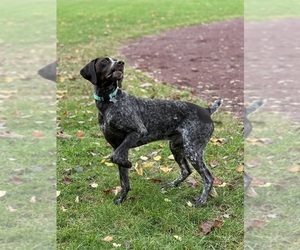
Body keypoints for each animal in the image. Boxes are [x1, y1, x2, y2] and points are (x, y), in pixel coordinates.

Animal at [79, 57, 223, 207]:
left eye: (115, 60)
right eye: (105, 61)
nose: (121, 63)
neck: (108, 102)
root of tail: (206, 110)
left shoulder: (137, 132)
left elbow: (115, 157)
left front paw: (128, 164)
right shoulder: (118, 145)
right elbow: (123, 179)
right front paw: (121, 199)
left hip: (193, 150)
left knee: (208, 177)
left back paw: (201, 201)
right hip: (176, 147)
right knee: (186, 170)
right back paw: (172, 185)